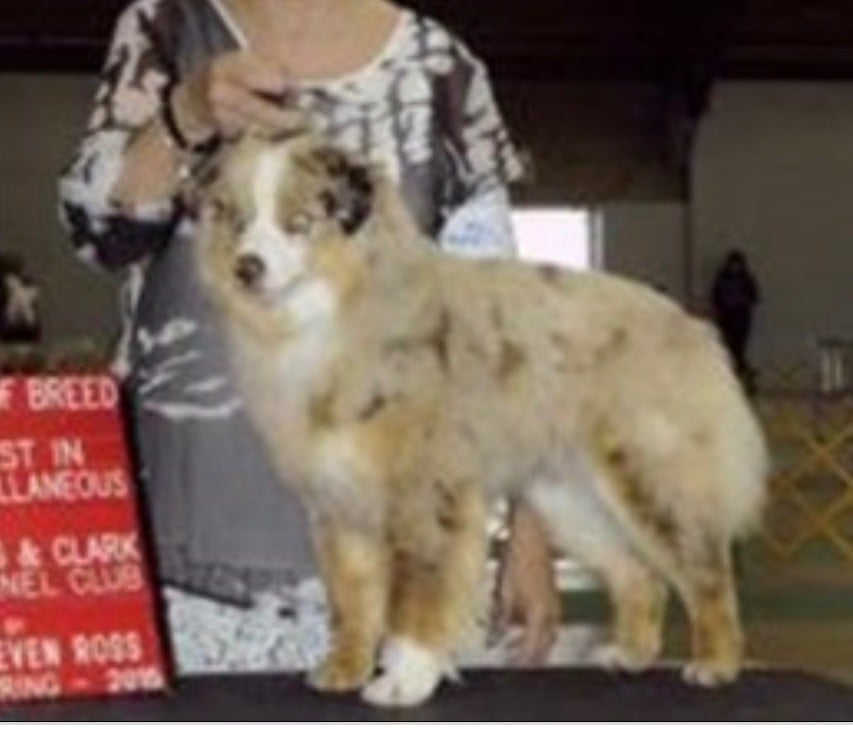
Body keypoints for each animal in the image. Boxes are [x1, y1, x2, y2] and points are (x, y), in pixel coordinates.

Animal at [195, 130, 768, 707]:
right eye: (236, 220)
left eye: (299, 222)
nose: (246, 266)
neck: (339, 314)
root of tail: (694, 329)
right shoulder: (339, 502)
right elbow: (352, 600)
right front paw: (344, 669)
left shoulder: (423, 493)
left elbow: (415, 599)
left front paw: (403, 680)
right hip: (570, 499)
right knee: (639, 575)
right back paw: (629, 655)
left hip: (648, 478)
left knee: (705, 571)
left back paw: (716, 663)